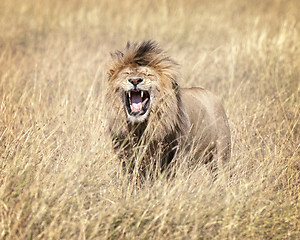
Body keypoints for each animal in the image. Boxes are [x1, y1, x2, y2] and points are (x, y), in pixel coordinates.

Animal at [104, 40, 231, 176]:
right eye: (126, 73)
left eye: (149, 74)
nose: (135, 80)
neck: (141, 127)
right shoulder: (127, 155)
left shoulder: (177, 154)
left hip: (221, 154)